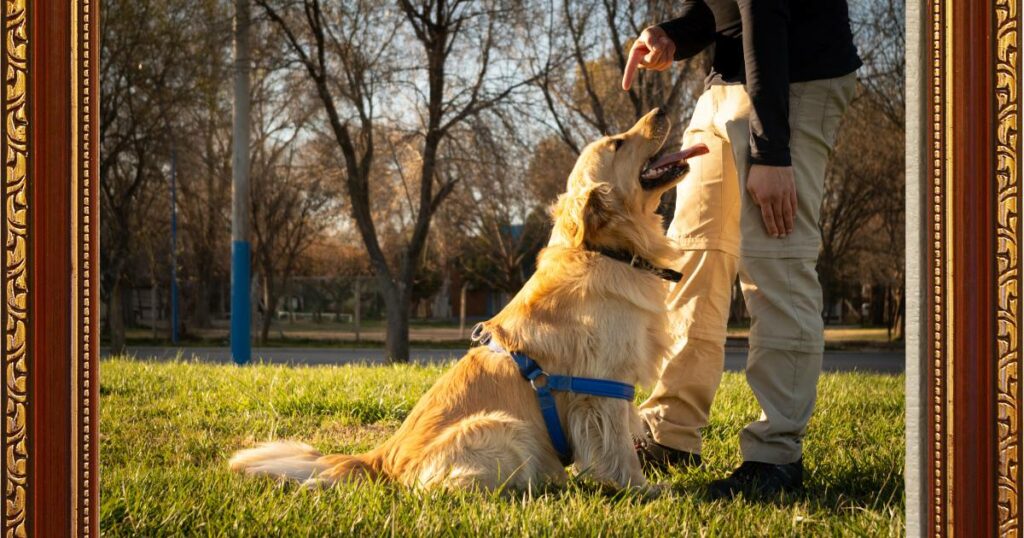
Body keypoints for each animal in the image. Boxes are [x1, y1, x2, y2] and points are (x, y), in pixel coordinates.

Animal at [230, 107, 704, 493]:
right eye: (619, 143)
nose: (660, 110)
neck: (606, 250)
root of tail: (381, 458)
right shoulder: (603, 387)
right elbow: (617, 448)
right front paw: (641, 489)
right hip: (506, 430)